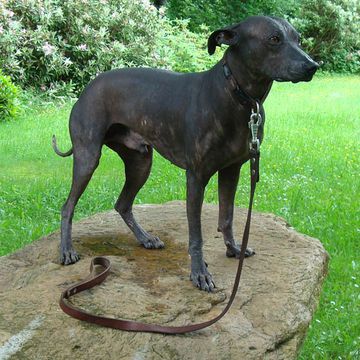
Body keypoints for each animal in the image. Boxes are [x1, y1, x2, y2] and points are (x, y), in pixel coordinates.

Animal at [52, 16, 318, 292]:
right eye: (274, 39)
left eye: (297, 39)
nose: (313, 66)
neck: (236, 96)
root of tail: (87, 88)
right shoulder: (196, 178)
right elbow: (196, 235)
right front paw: (199, 273)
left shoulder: (231, 170)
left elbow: (227, 216)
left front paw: (233, 248)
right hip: (88, 158)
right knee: (67, 206)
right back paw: (67, 250)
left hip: (141, 162)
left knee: (122, 204)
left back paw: (145, 238)